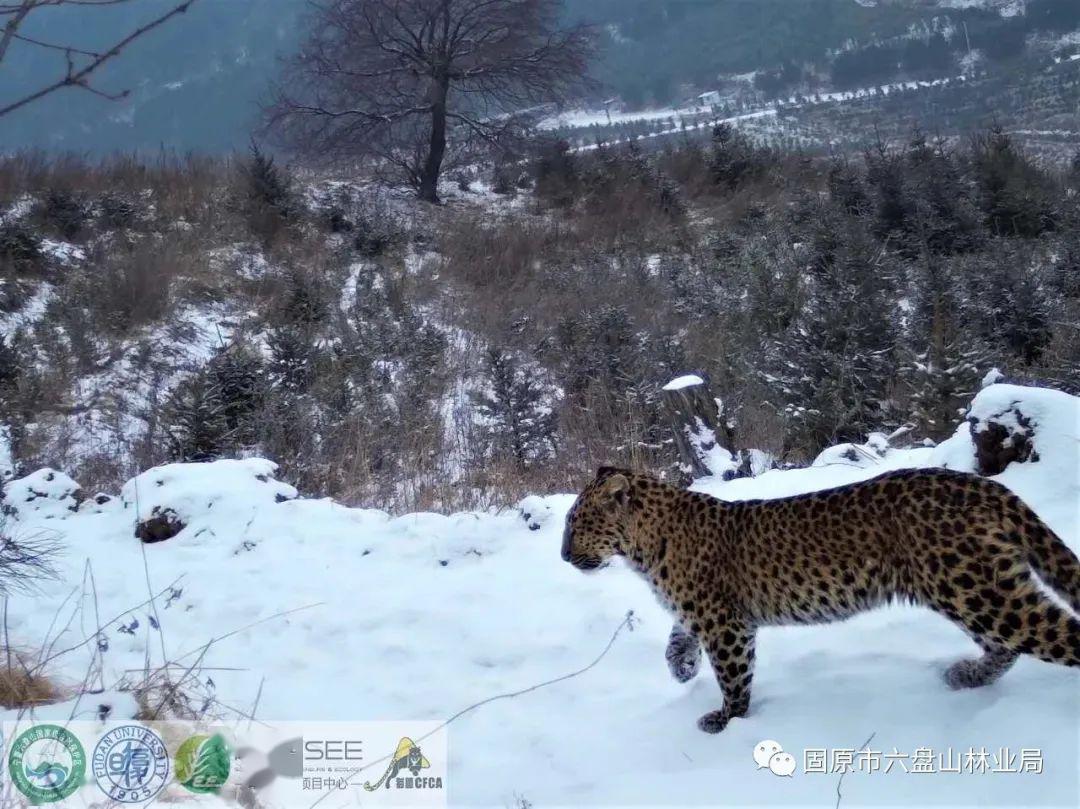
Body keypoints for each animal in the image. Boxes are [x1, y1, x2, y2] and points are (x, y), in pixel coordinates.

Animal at [561, 460, 1075, 730]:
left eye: (577, 522)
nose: (564, 555)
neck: (642, 550)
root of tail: (984, 485)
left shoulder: (725, 624)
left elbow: (733, 675)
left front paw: (728, 720)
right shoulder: (701, 612)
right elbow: (675, 639)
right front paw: (683, 669)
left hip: (975, 589)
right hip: (972, 590)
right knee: (1004, 648)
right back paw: (967, 676)